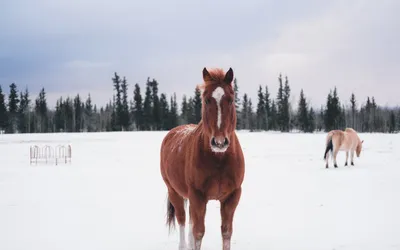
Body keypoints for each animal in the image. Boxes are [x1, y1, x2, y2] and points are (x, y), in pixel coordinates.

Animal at [159, 67, 244, 249]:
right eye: (206, 100)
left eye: (231, 100)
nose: (219, 142)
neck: (219, 159)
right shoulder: (198, 197)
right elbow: (198, 233)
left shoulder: (232, 196)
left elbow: (226, 232)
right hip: (174, 191)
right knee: (182, 220)